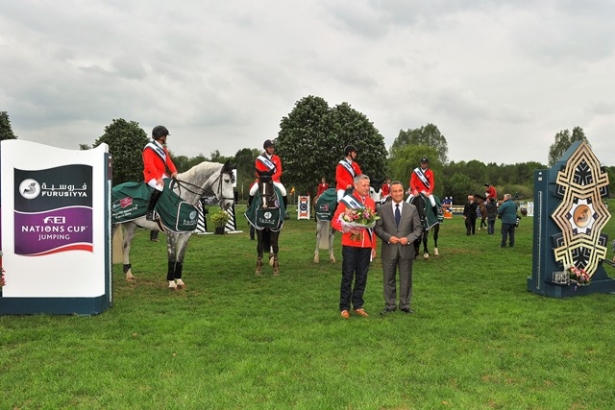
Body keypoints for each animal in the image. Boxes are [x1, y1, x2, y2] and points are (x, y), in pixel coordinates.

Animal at [110, 160, 236, 288]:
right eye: (226, 180)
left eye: (232, 180)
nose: (229, 204)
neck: (183, 196)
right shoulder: (172, 233)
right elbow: (172, 257)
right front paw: (171, 283)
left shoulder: (185, 234)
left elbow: (180, 258)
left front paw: (179, 281)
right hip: (113, 225)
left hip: (131, 226)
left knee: (126, 246)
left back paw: (129, 275)